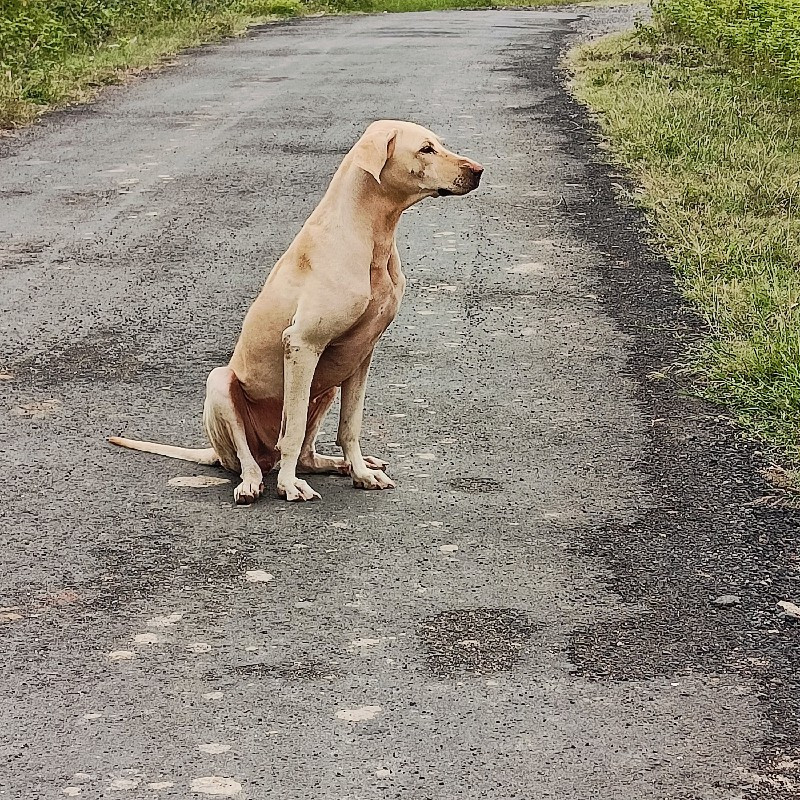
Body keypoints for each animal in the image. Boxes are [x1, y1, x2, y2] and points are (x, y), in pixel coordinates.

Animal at [109, 119, 484, 504]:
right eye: (426, 149)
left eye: (439, 144)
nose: (478, 171)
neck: (370, 234)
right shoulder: (302, 345)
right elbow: (292, 431)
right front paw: (289, 485)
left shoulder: (361, 355)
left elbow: (350, 426)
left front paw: (361, 472)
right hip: (222, 384)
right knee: (250, 458)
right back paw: (253, 482)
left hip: (327, 386)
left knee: (306, 454)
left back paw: (342, 465)